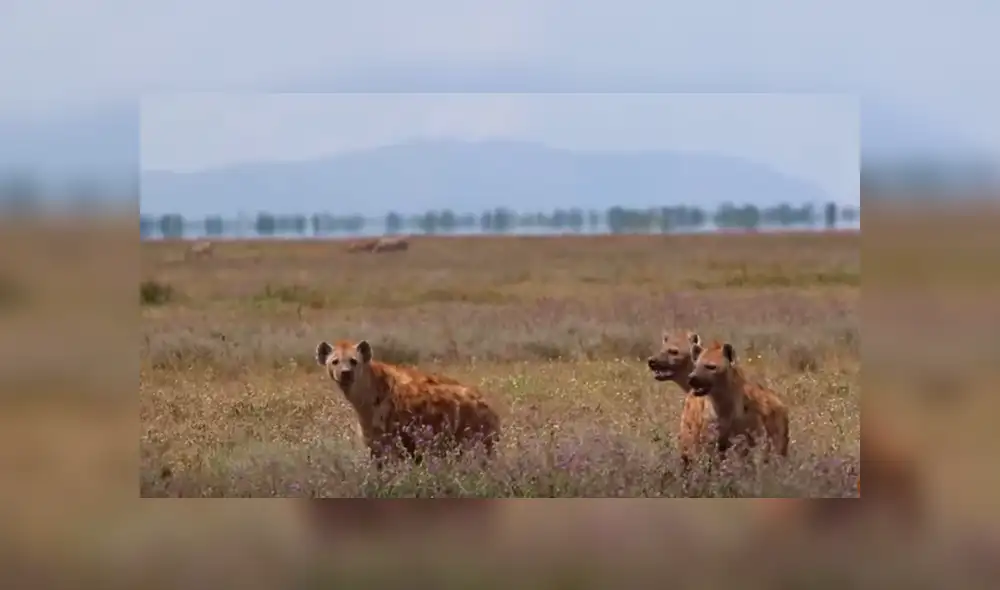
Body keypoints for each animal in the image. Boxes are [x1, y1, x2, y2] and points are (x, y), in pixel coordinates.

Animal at [315, 339, 500, 469]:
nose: (345, 373)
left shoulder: (396, 438)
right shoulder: (374, 440)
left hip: (475, 437)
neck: (364, 400)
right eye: (335, 361)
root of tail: (487, 404)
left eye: (354, 361)